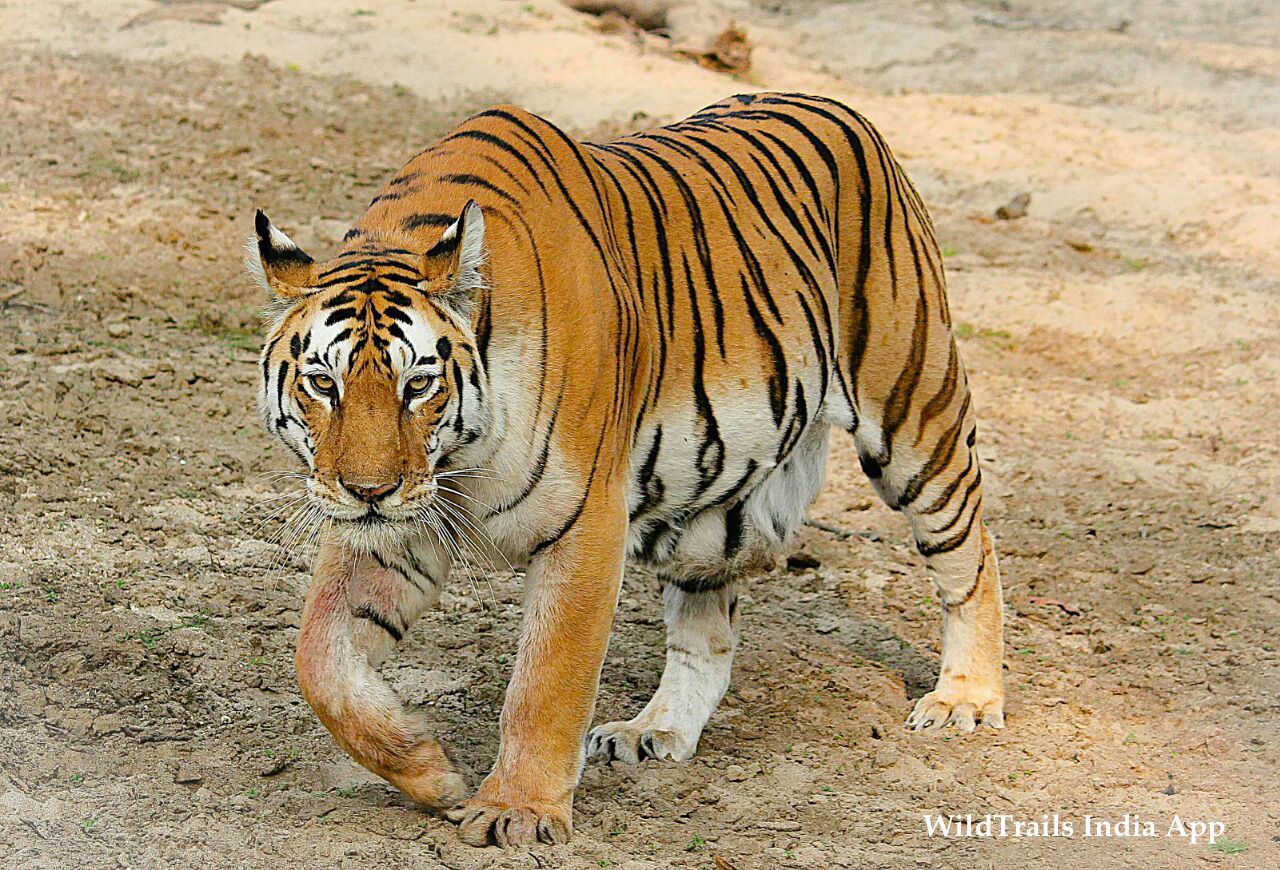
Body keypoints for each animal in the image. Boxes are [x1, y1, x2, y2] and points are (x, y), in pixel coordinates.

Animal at [247, 91, 1008, 844]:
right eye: (323, 383)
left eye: (418, 385)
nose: (367, 490)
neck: (459, 455)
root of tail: (841, 107)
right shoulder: (397, 528)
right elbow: (319, 659)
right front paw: (431, 770)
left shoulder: (585, 519)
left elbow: (547, 680)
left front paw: (517, 811)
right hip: (706, 505)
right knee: (707, 627)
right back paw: (655, 730)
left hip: (915, 415)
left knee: (970, 551)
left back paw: (964, 699)